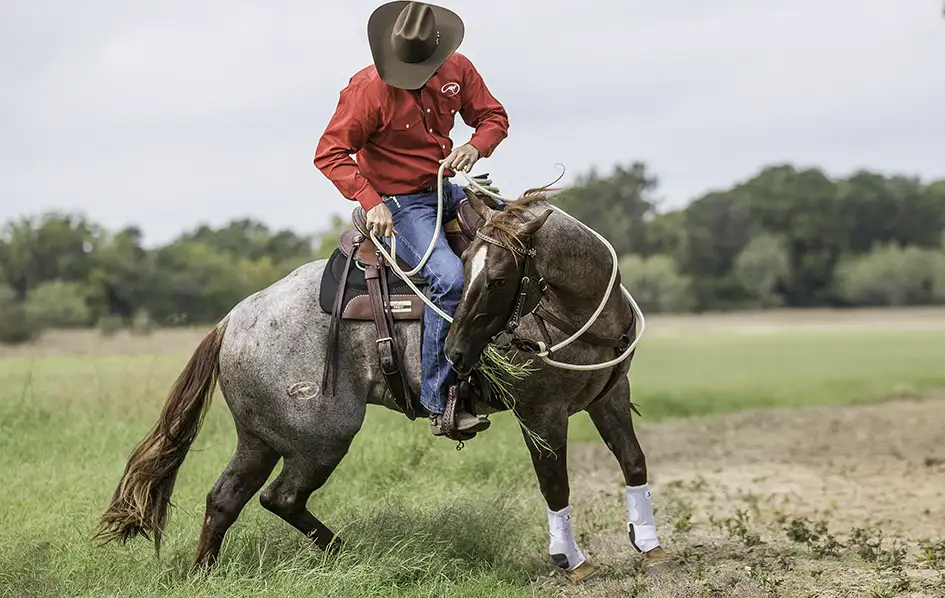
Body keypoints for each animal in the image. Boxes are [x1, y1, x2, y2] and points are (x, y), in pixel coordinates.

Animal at [93, 182, 670, 582]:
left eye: (500, 277)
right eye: (466, 267)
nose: (456, 353)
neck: (576, 309)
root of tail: (232, 320)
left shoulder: (610, 396)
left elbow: (634, 461)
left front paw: (651, 547)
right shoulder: (541, 414)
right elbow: (556, 485)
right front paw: (572, 561)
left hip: (259, 439)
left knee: (224, 500)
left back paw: (209, 575)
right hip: (320, 439)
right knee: (280, 497)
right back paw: (347, 554)